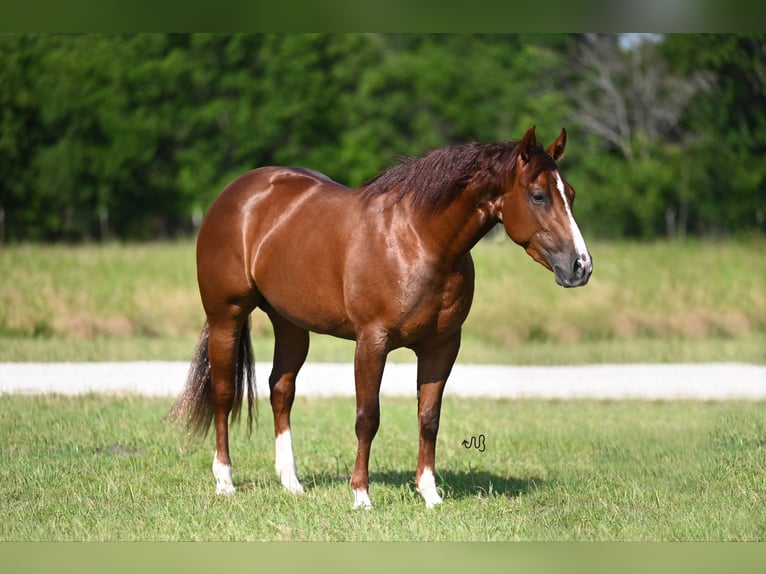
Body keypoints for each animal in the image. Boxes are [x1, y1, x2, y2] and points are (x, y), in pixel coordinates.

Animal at [166, 125, 592, 508]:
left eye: (571, 194)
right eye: (538, 195)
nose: (581, 267)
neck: (419, 238)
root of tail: (236, 193)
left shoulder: (441, 346)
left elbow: (429, 418)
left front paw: (430, 494)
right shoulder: (372, 342)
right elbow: (367, 417)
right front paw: (361, 496)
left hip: (290, 324)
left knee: (280, 390)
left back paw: (291, 482)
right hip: (226, 316)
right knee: (225, 393)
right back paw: (225, 481)